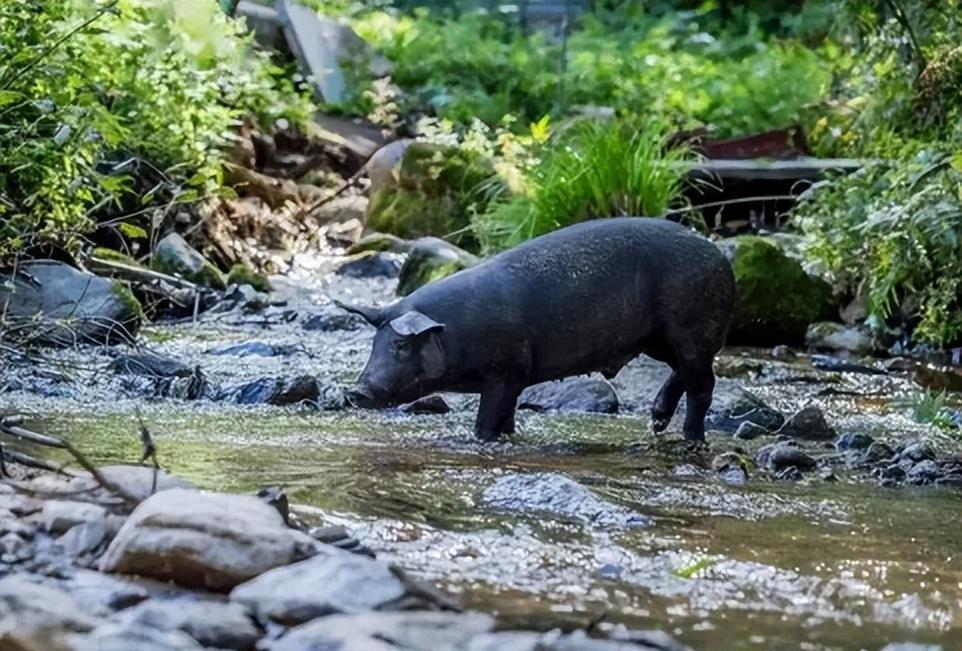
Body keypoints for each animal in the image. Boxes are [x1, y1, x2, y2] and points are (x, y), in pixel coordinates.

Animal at [338, 219, 736, 444]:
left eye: (402, 345)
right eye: (375, 343)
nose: (356, 392)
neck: (457, 331)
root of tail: (720, 257)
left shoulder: (505, 370)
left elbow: (488, 419)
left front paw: (482, 440)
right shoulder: (515, 378)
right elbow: (507, 417)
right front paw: (508, 435)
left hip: (692, 325)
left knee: (703, 383)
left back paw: (692, 441)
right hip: (656, 339)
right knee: (683, 371)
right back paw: (657, 422)